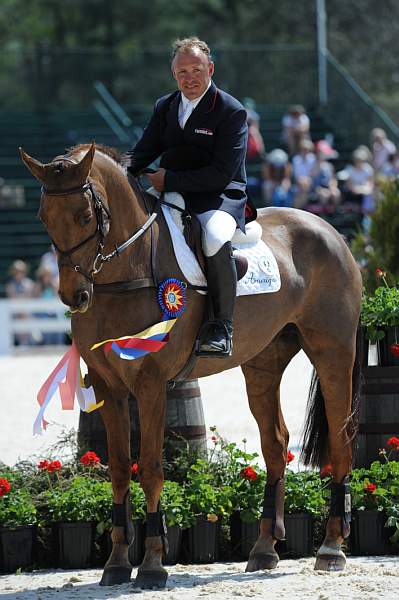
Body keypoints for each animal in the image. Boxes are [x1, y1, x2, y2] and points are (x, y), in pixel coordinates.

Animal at [21, 144, 366, 584]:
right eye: (43, 216)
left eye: (85, 216)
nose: (74, 295)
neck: (127, 270)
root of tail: (331, 232)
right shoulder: (107, 385)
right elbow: (119, 468)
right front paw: (116, 564)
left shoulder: (151, 384)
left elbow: (151, 468)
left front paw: (152, 565)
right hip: (263, 364)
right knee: (276, 444)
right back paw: (264, 549)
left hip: (332, 353)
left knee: (340, 440)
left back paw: (331, 548)